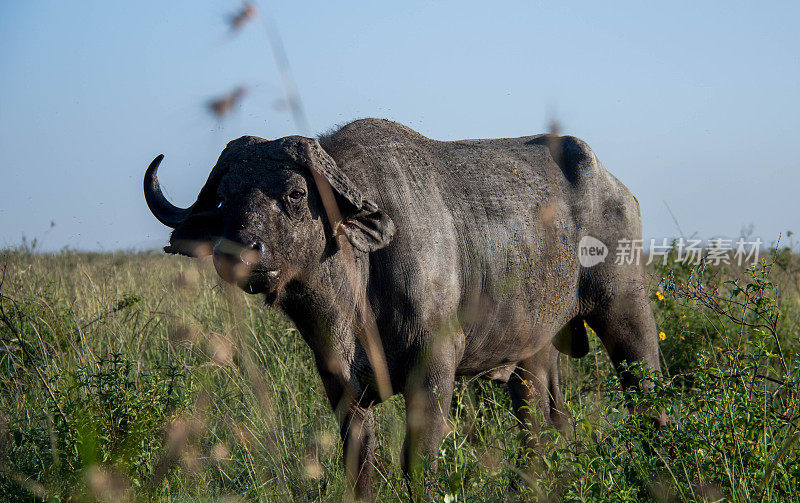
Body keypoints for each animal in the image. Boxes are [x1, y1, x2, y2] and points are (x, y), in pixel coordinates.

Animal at [142, 118, 664, 500]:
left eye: (294, 193)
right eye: (226, 197)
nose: (238, 253)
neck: (356, 292)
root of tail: (615, 188)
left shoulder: (434, 368)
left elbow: (419, 465)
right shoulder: (341, 386)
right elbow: (361, 469)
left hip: (626, 310)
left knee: (647, 392)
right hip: (533, 353)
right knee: (540, 425)